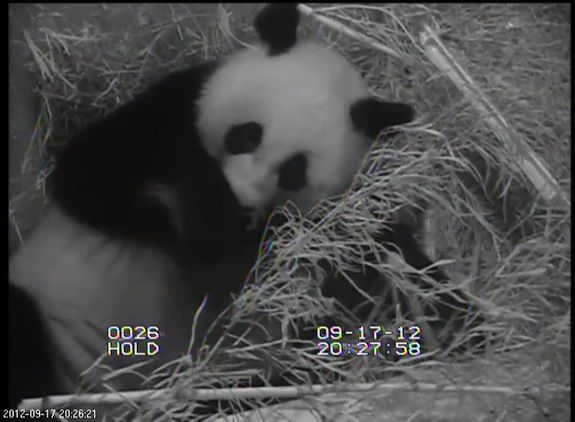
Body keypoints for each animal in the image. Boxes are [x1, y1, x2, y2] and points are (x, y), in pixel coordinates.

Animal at [9, 1, 476, 414]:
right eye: (247, 134)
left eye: (294, 172)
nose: (241, 199)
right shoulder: (171, 109)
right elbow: (89, 175)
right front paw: (209, 221)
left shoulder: (336, 221)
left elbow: (368, 257)